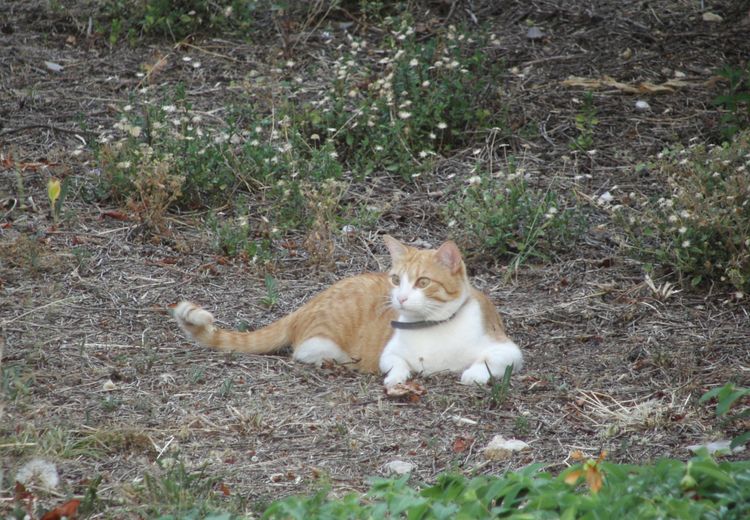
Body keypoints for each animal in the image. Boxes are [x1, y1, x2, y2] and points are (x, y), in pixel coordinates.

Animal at [173, 236, 524, 386]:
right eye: (396, 279)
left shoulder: (509, 351)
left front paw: (472, 374)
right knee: (306, 351)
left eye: (423, 282)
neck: (432, 328)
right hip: (323, 341)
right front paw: (397, 378)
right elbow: (397, 366)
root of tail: (309, 302)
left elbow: (487, 362)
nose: (400, 298)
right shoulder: (388, 354)